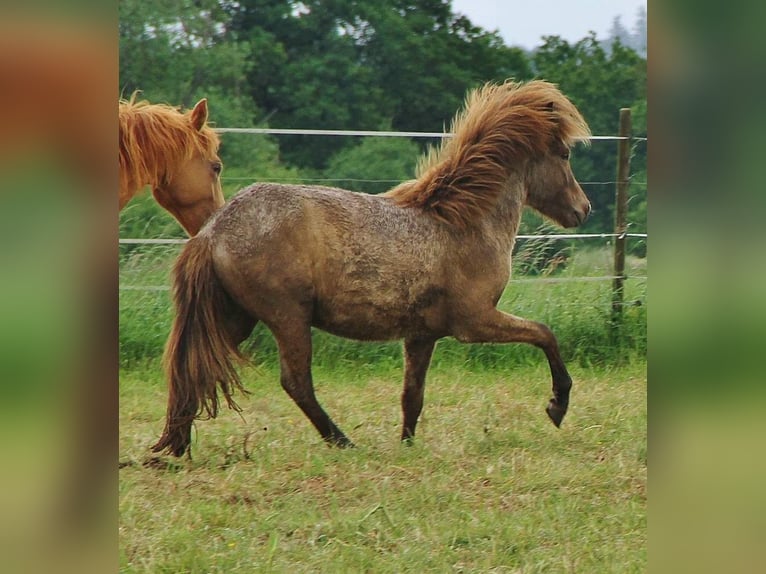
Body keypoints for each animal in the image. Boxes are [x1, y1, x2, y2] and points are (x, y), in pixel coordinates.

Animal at [150, 81, 592, 460]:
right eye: (565, 154)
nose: (583, 209)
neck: (458, 223)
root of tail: (211, 231)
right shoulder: (475, 321)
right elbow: (544, 334)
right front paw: (557, 404)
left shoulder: (421, 335)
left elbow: (412, 396)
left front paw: (407, 445)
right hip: (286, 318)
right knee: (295, 382)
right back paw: (342, 441)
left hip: (235, 317)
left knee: (192, 368)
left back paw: (174, 446)